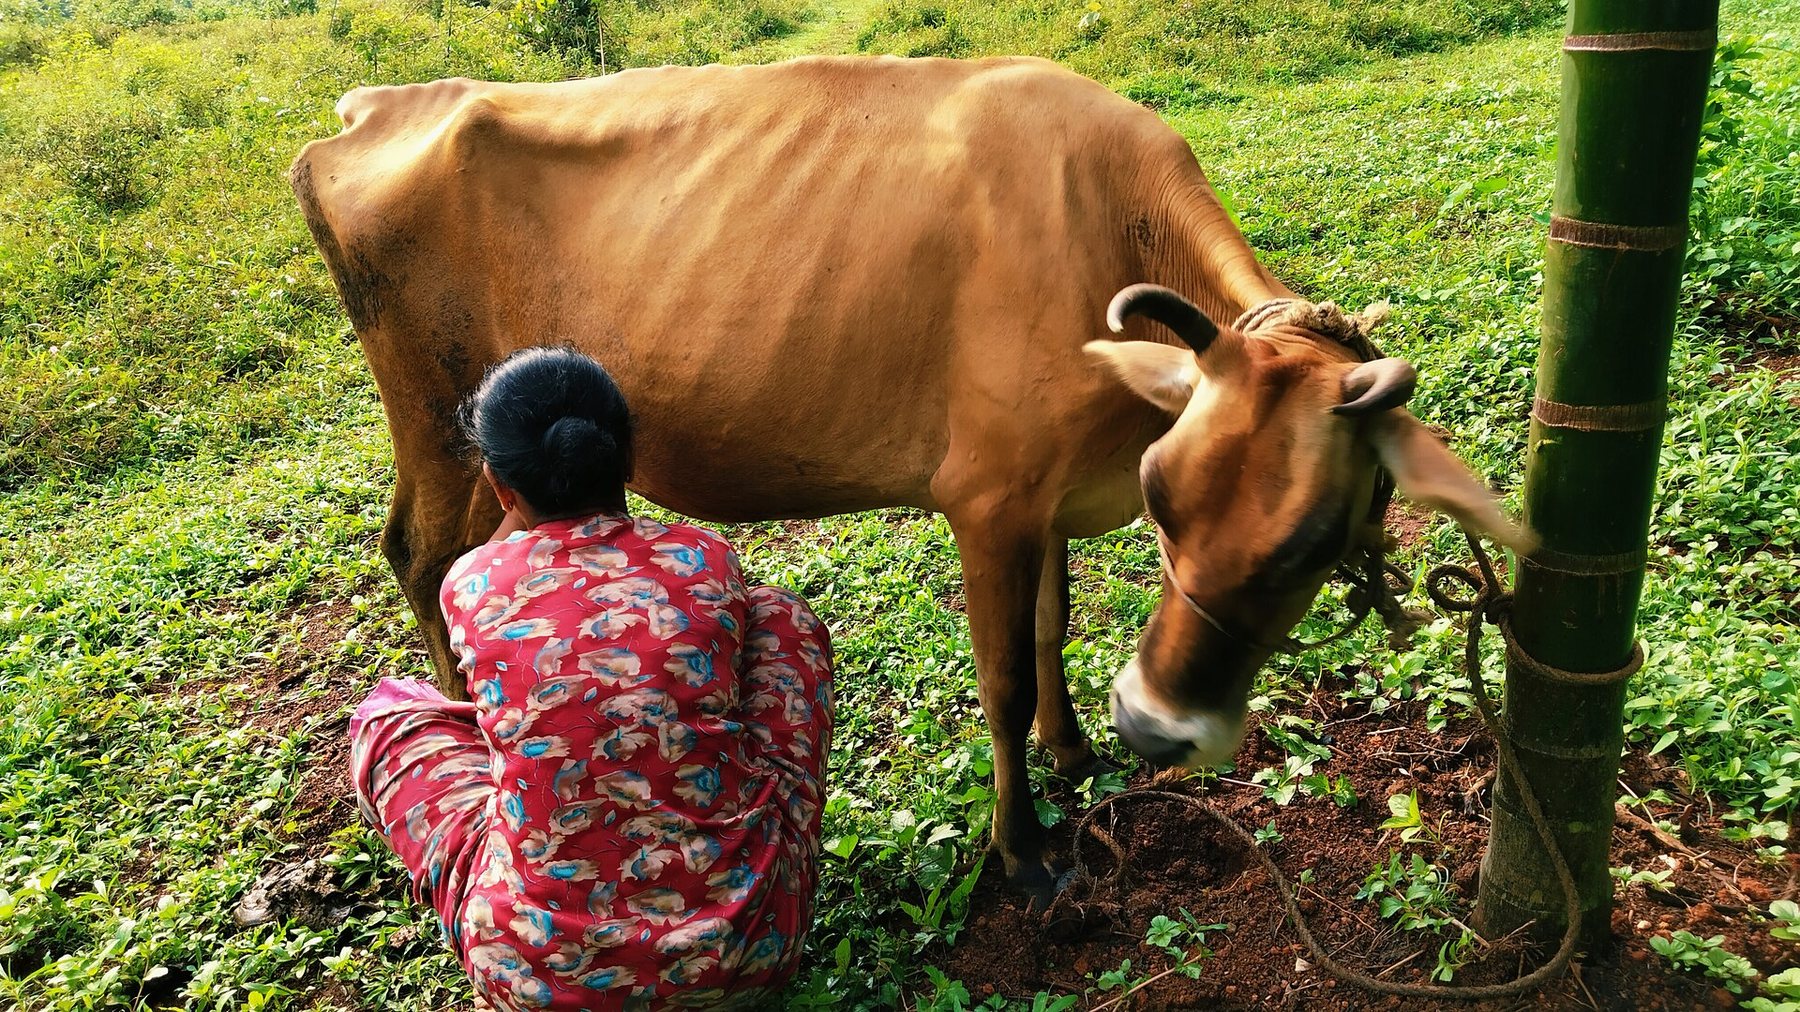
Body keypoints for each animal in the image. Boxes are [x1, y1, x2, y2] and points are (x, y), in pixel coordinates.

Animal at [290, 55, 1530, 903]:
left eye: (1315, 540)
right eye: (1166, 501)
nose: (1155, 728)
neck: (1102, 223)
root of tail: (374, 106)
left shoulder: (1049, 493)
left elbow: (1052, 626)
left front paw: (1075, 751)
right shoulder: (986, 497)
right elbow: (1004, 677)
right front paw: (1021, 847)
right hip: (434, 410)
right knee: (418, 552)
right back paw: (466, 720)